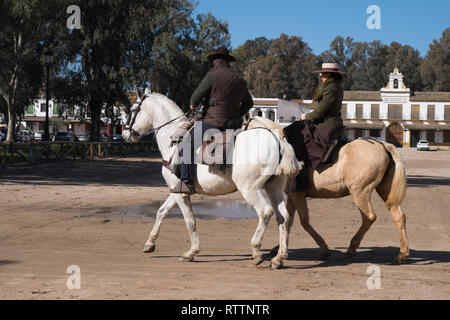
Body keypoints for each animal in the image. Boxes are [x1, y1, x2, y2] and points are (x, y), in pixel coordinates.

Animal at [121, 87, 300, 268]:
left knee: (265, 212)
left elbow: (190, 221)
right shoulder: (178, 189)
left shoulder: (181, 194)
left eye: (132, 109)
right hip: (273, 188)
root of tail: (278, 140)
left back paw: (256, 251)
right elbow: (161, 211)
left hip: (250, 189)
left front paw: (191, 252)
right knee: (283, 217)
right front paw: (150, 243)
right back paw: (279, 257)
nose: (125, 133)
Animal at [248, 116, 410, 264]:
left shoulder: (297, 194)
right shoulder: (293, 195)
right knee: (398, 215)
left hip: (360, 192)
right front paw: (278, 248)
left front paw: (324, 249)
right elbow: (288, 220)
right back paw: (401, 254)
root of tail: (383, 144)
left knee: (369, 217)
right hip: (384, 190)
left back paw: (352, 248)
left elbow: (303, 222)